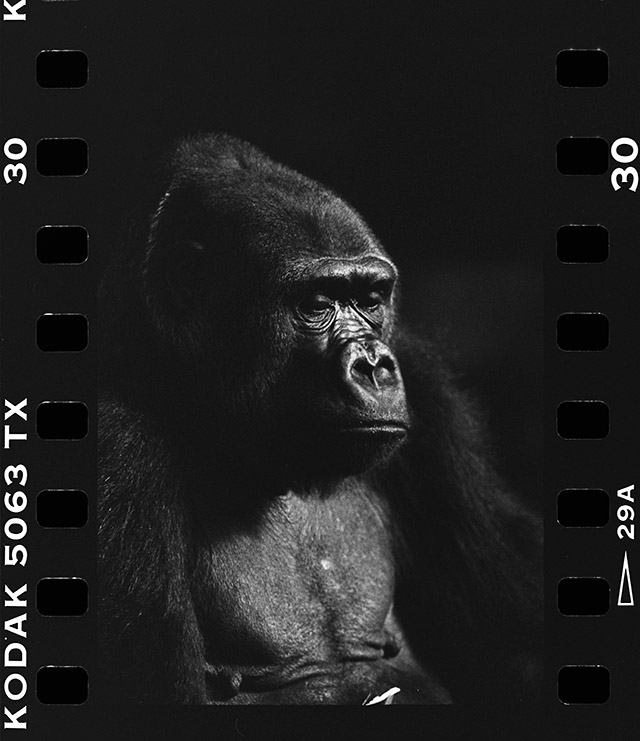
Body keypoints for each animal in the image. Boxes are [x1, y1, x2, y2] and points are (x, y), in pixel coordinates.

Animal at [97, 133, 544, 704]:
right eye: (316, 303)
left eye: (370, 299)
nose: (374, 365)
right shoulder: (118, 444)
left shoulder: (430, 398)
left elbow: (517, 647)